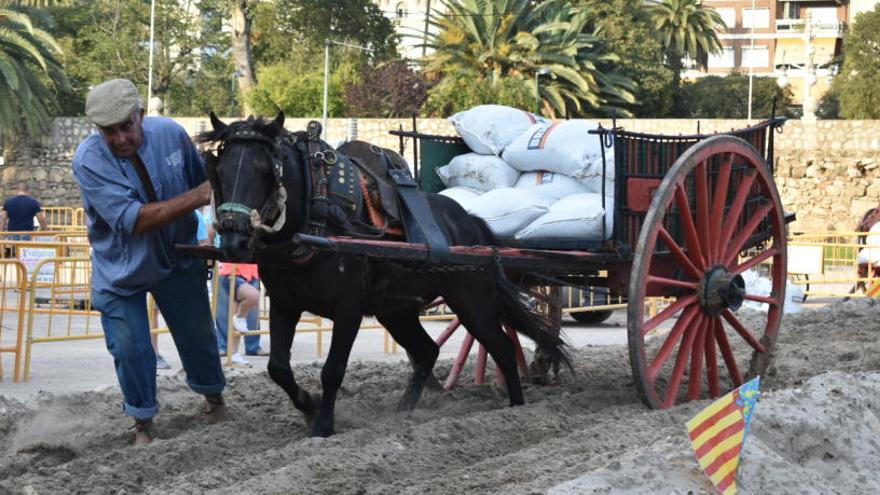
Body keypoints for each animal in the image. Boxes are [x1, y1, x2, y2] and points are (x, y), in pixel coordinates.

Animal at [199, 113, 572, 438]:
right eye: (221, 169)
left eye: (265, 170)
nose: (233, 239)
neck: (316, 214)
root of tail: (473, 223)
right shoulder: (284, 304)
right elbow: (278, 367)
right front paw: (309, 406)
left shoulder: (348, 308)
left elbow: (333, 369)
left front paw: (323, 426)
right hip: (396, 310)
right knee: (428, 351)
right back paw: (403, 412)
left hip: (472, 302)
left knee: (502, 348)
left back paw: (517, 409)